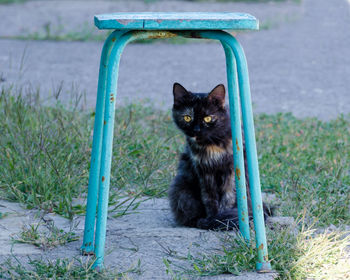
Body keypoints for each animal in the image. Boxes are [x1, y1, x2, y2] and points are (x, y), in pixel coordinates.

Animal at [170, 82, 260, 230]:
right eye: (187, 117)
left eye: (208, 118)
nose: (196, 130)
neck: (212, 145)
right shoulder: (204, 172)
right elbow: (209, 198)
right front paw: (214, 219)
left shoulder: (231, 171)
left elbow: (228, 197)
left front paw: (222, 219)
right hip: (182, 188)